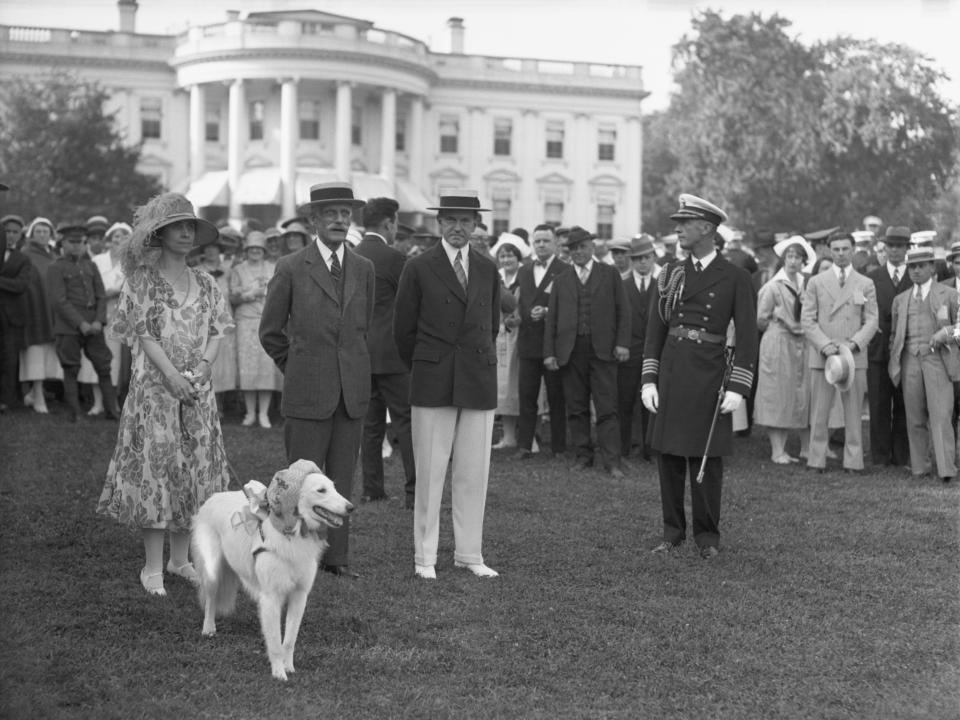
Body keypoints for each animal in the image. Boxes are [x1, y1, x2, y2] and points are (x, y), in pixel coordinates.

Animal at [191, 462, 352, 680]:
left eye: (334, 488)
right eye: (321, 490)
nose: (351, 508)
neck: (292, 533)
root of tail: (212, 497)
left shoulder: (299, 596)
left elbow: (289, 640)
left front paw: (288, 667)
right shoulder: (270, 598)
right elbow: (275, 642)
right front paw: (279, 674)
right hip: (212, 570)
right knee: (210, 601)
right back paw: (208, 629)